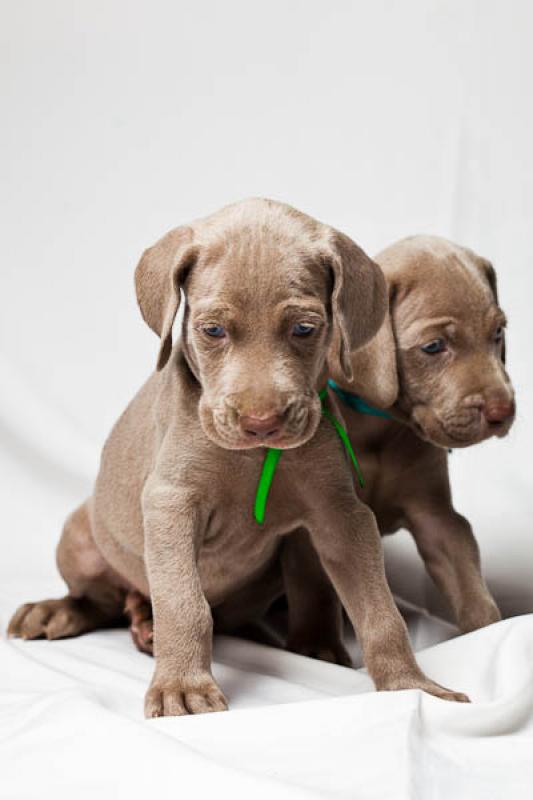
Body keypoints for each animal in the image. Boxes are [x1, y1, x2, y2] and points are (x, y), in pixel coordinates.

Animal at [7, 200, 466, 720]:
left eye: (304, 329)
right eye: (213, 330)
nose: (260, 422)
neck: (254, 458)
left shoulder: (341, 512)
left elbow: (379, 609)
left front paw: (412, 685)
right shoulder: (171, 502)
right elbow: (183, 603)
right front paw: (182, 688)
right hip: (81, 535)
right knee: (101, 598)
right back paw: (60, 611)